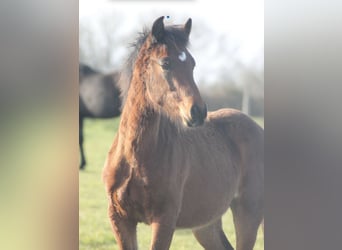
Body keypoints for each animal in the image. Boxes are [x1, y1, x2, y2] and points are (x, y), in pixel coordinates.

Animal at [103, 16, 264, 249]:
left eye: (192, 64)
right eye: (165, 63)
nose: (197, 112)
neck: (135, 158)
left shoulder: (164, 220)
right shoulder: (119, 218)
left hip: (248, 212)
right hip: (206, 224)